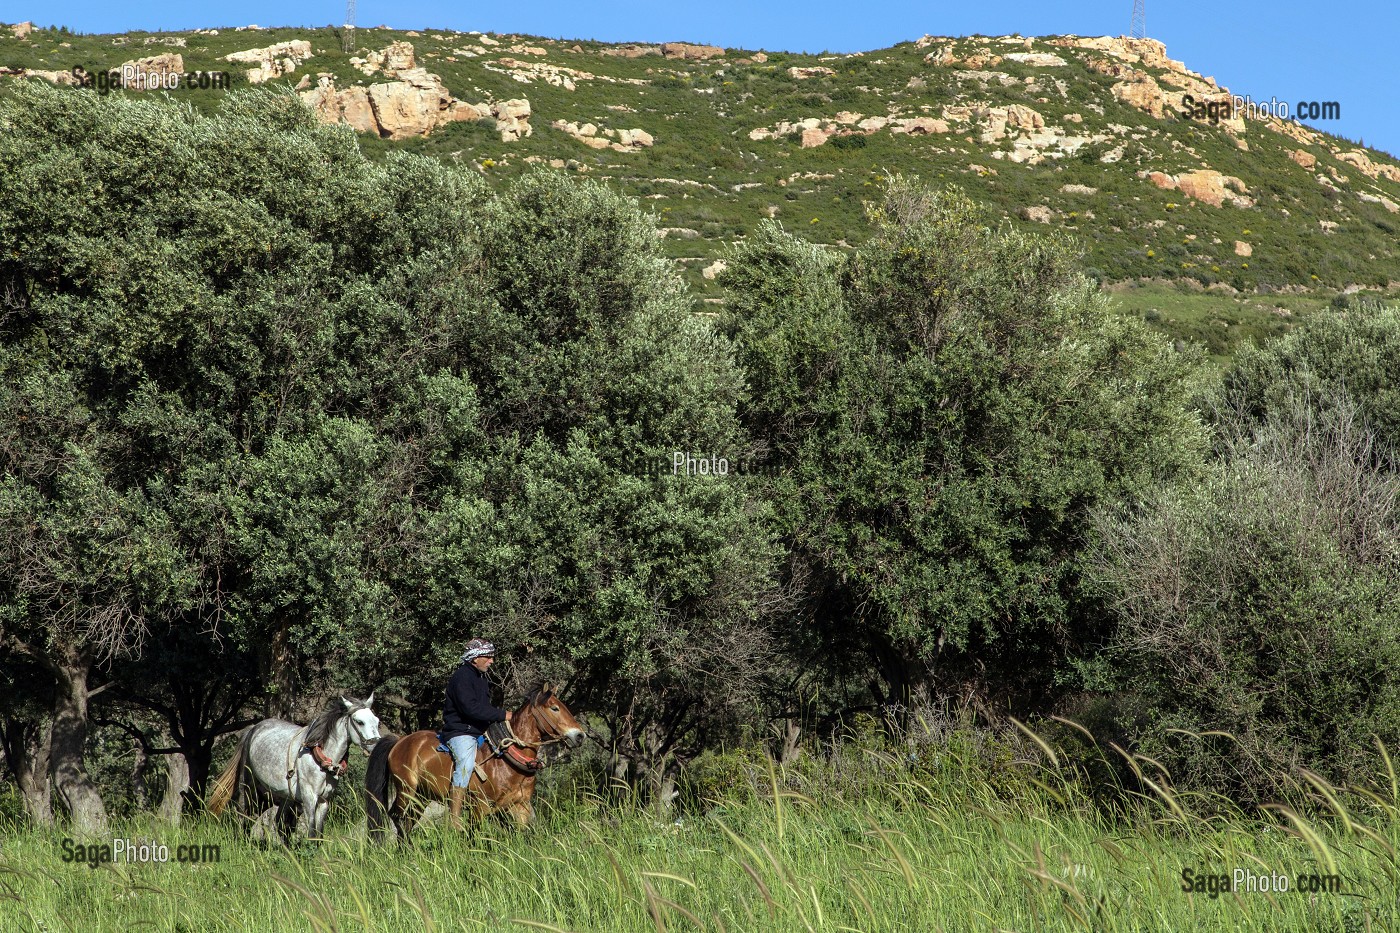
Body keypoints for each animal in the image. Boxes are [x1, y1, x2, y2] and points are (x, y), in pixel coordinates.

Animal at [207, 689, 383, 834]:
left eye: (376, 720)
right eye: (359, 721)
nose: (376, 745)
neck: (320, 759)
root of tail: (252, 729)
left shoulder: (324, 801)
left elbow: (318, 833)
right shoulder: (309, 798)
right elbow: (311, 832)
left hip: (279, 796)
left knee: (278, 824)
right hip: (249, 788)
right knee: (243, 816)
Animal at [366, 680, 585, 840]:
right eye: (554, 708)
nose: (580, 735)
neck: (506, 761)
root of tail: (400, 741)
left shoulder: (519, 806)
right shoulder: (480, 808)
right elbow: (474, 837)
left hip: (422, 796)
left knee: (408, 821)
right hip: (406, 791)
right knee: (397, 817)